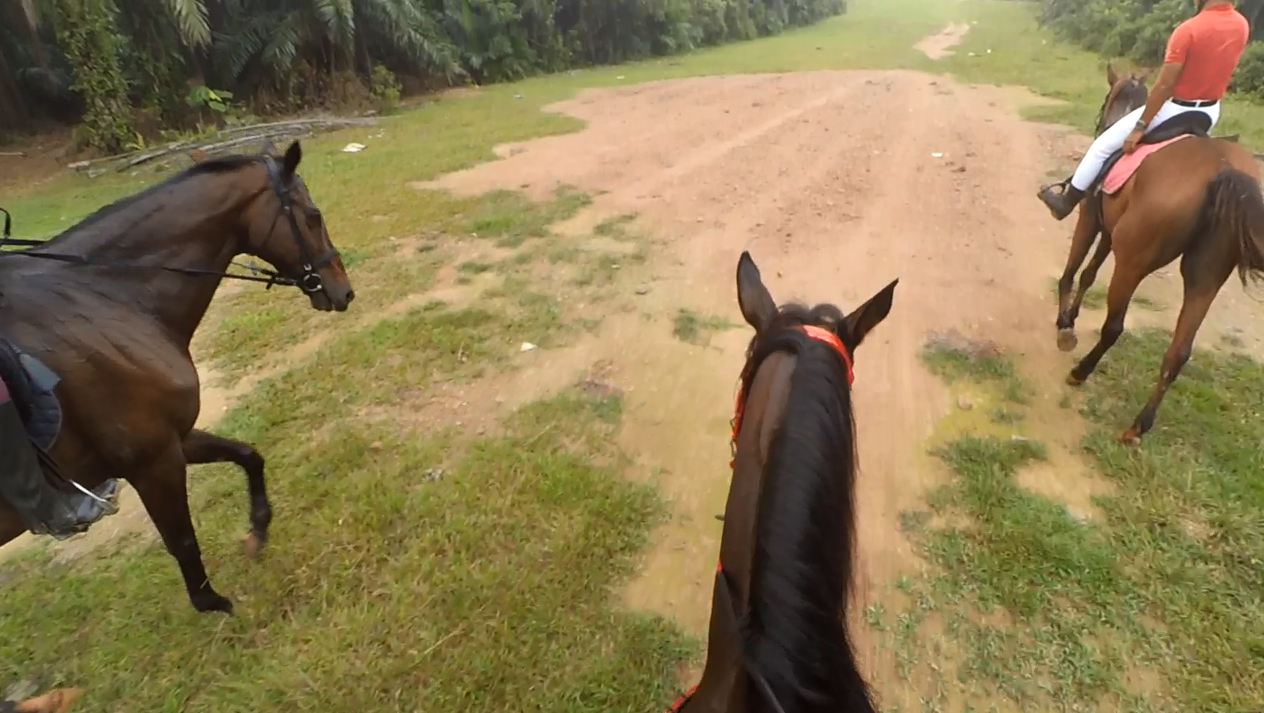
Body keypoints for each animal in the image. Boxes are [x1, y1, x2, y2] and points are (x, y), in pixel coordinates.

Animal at [0, 140, 356, 611]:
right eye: (312, 215)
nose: (344, 291)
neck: (110, 298)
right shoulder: (153, 460)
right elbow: (183, 542)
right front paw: (220, 605)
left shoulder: (171, 440)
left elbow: (247, 454)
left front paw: (256, 534)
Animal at [1051, 67, 1264, 444]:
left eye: (1107, 97)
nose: (1101, 121)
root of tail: (1223, 168)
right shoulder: (1110, 229)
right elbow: (1089, 272)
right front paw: (1071, 315)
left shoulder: (1091, 214)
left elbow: (1073, 268)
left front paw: (1064, 323)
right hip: (1205, 277)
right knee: (1178, 353)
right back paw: (1139, 425)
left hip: (1133, 263)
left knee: (1114, 327)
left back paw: (1081, 372)